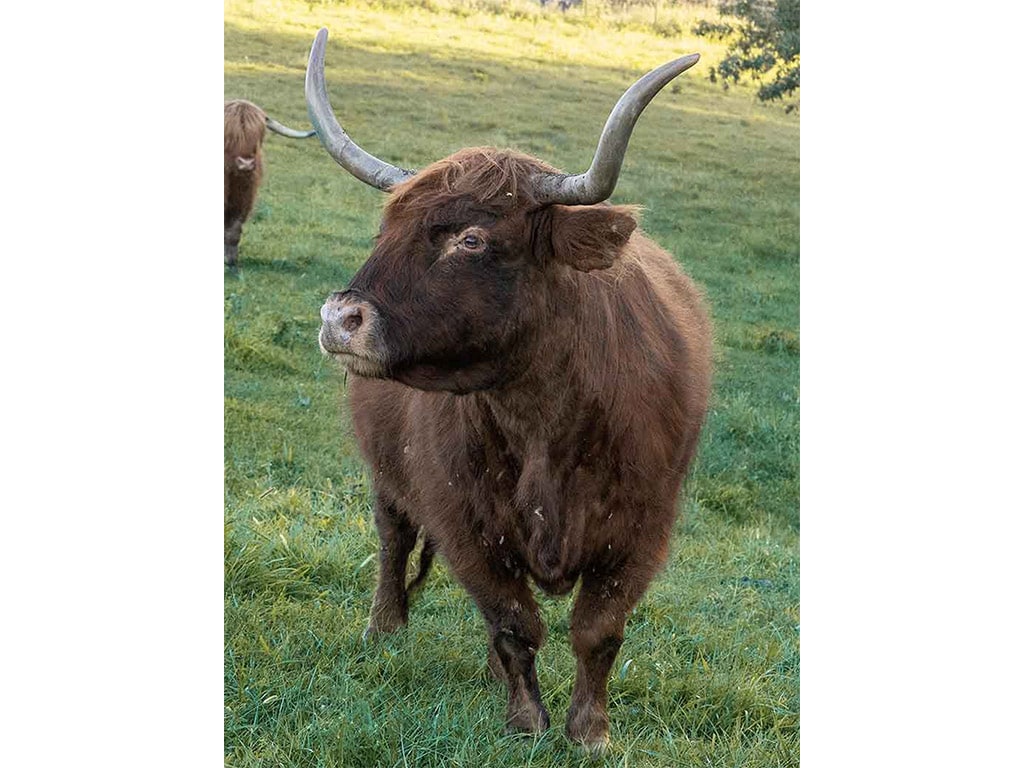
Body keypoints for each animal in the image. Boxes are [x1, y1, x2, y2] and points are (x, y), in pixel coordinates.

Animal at [225, 99, 313, 268]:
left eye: (258, 136)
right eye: (229, 136)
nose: (246, 164)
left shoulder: (244, 201)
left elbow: (234, 231)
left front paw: (232, 262)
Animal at [305, 30, 712, 753]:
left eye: (472, 239)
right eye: (386, 231)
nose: (339, 318)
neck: (546, 421)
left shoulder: (641, 529)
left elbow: (597, 632)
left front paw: (588, 732)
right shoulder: (466, 523)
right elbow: (513, 625)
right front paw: (527, 722)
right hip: (386, 475)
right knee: (392, 537)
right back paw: (385, 628)